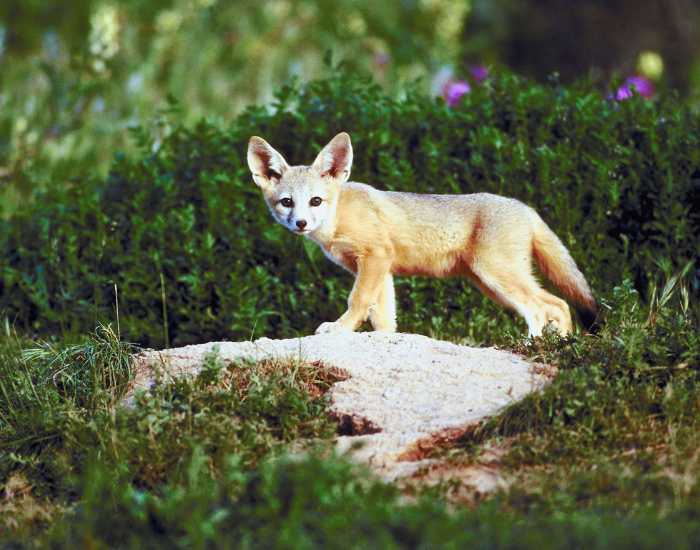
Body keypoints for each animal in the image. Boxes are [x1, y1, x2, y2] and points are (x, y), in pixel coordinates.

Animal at [247, 132, 598, 337]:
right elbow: (383, 318)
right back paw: (562, 345)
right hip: (490, 284)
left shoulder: (375, 257)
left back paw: (533, 346)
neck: (340, 216)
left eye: (316, 201)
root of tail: (525, 207)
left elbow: (357, 302)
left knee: (542, 308)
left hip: (496, 276)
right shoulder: (381, 269)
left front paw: (339, 329)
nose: (300, 224)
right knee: (559, 305)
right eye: (287, 203)